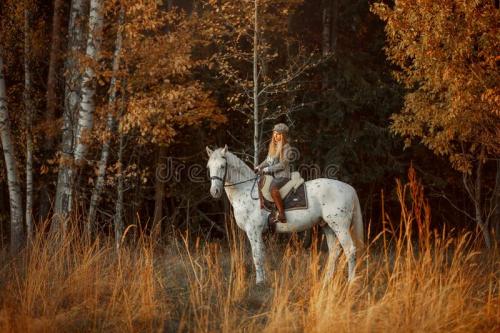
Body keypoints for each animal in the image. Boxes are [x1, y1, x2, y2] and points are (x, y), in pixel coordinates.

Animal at [205, 145, 366, 282]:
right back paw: (327, 281)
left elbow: (257, 256)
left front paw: (259, 282)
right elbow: (261, 254)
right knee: (334, 252)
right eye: (209, 167)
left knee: (350, 250)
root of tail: (348, 188)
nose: (215, 191)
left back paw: (351, 282)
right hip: (327, 226)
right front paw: (264, 281)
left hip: (340, 226)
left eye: (222, 166)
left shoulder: (253, 231)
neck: (246, 191)